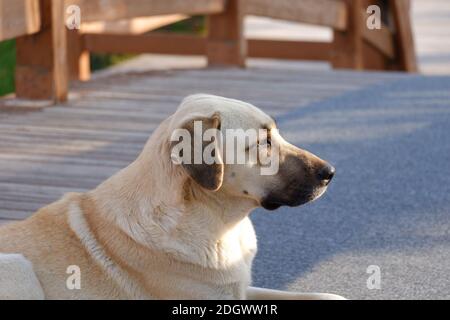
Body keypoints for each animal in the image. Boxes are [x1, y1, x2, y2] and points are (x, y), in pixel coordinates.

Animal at [0, 95, 344, 300]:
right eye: (264, 142)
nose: (330, 172)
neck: (217, 222)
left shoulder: (240, 289)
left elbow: (327, 295)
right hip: (18, 266)